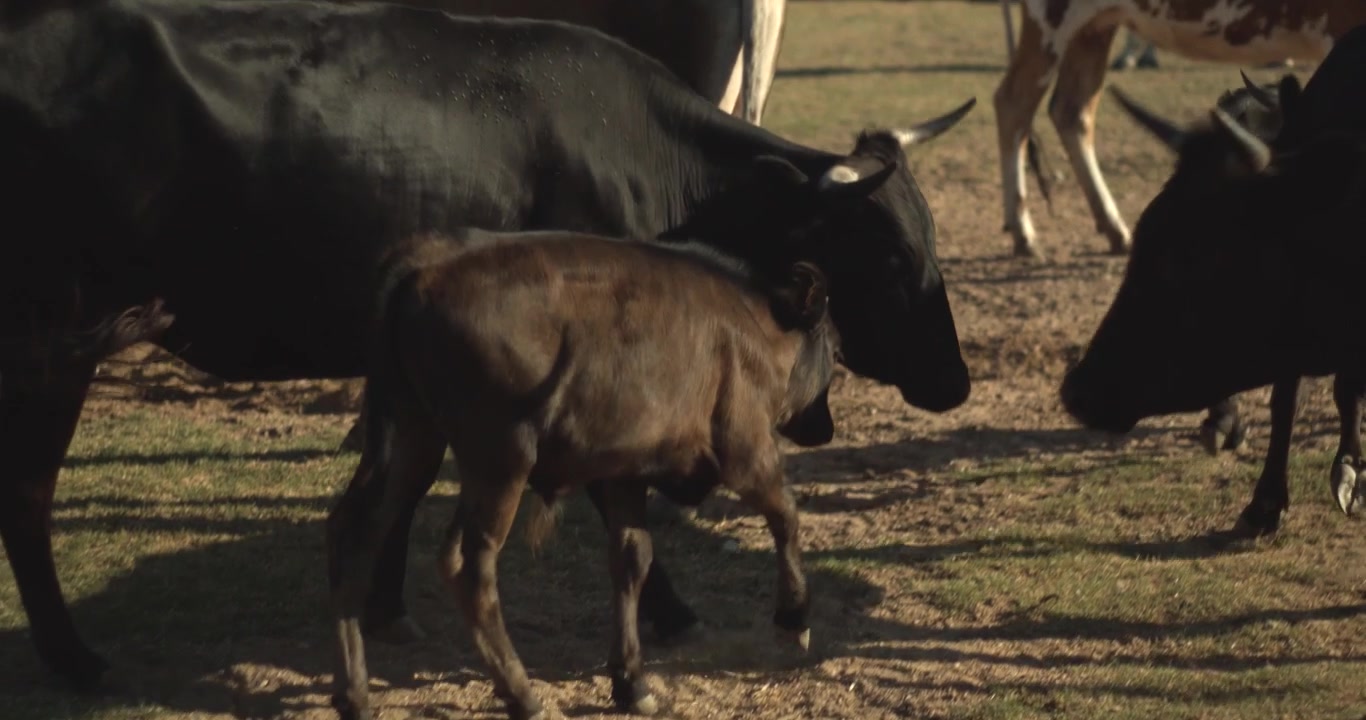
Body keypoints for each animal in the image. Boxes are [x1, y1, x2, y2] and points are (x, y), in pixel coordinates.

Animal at [327, 230, 837, 720]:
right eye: (833, 347)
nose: (827, 428)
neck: (753, 327)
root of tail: (424, 265)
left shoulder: (626, 472)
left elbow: (631, 560)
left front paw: (631, 682)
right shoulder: (745, 450)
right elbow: (786, 515)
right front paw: (794, 620)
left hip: (412, 440)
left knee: (357, 533)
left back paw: (354, 694)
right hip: (500, 460)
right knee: (469, 565)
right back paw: (522, 696)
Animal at [993, 0, 1366, 259]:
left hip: (1095, 26)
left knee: (1072, 111)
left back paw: (1114, 228)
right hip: (1051, 20)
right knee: (1014, 104)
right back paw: (1024, 232)